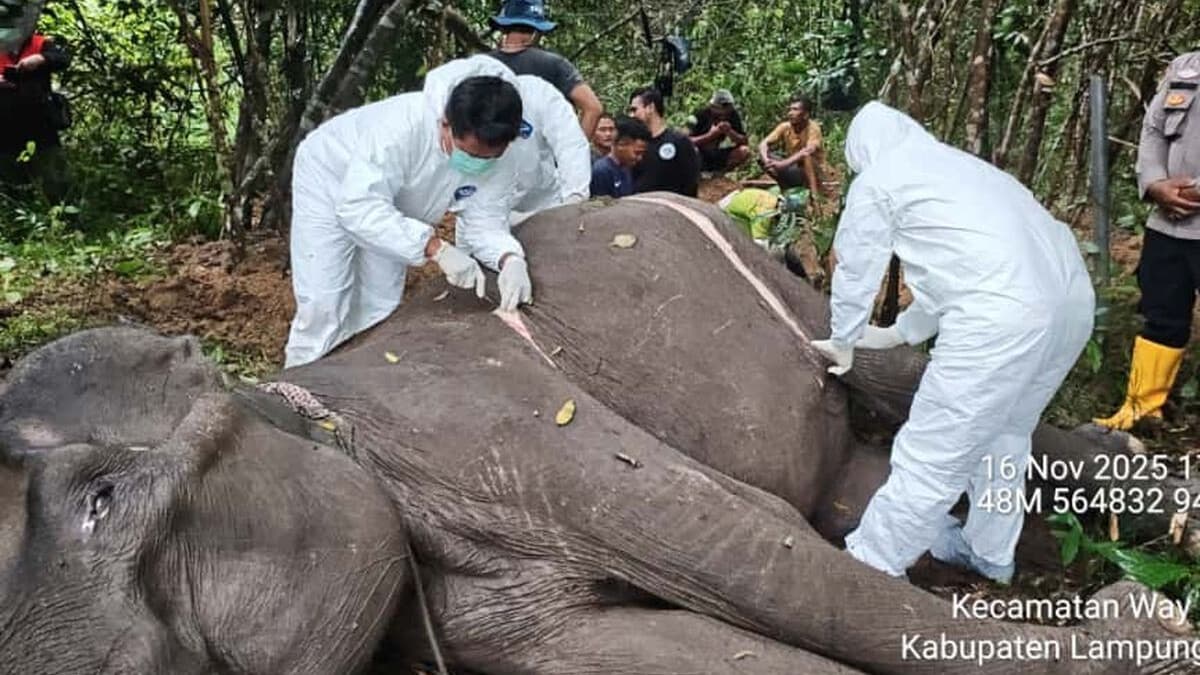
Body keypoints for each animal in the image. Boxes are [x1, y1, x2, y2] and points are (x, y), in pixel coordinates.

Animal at [0, 193, 1194, 674]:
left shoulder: (504, 425)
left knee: (876, 370)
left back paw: (1150, 494)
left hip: (747, 255)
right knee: (858, 476)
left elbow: (758, 544)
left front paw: (1146, 627)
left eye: (104, 498)